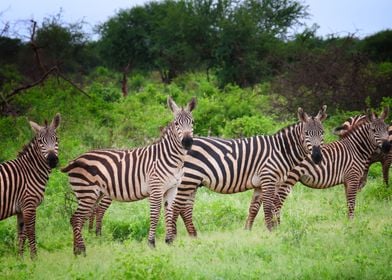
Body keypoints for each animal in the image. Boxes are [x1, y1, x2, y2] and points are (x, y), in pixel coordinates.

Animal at [0, 112, 60, 260]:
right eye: (40, 142)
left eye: (56, 139)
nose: (52, 160)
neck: (30, 171)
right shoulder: (29, 206)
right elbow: (31, 232)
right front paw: (34, 259)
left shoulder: (21, 210)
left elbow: (21, 235)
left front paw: (20, 260)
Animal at [62, 95, 196, 254]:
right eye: (176, 123)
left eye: (192, 122)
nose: (187, 142)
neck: (171, 158)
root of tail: (75, 159)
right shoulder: (156, 188)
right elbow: (155, 214)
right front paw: (151, 243)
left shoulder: (172, 188)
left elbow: (168, 213)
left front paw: (169, 242)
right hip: (87, 192)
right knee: (76, 218)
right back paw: (81, 251)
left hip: (93, 194)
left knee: (81, 218)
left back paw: (76, 250)